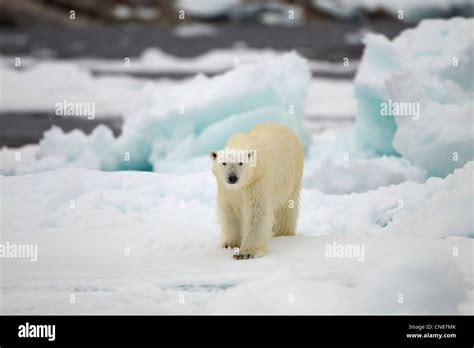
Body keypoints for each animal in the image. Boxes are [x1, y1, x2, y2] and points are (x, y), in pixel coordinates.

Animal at [210, 121, 304, 260]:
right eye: (224, 163)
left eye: (241, 163)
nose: (232, 178)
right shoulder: (226, 189)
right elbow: (229, 210)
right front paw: (231, 243)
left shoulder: (257, 181)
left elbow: (257, 211)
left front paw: (245, 253)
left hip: (292, 175)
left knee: (286, 208)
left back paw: (283, 233)